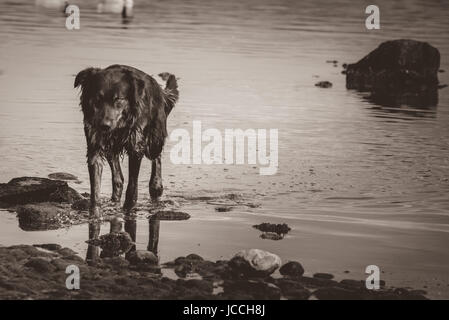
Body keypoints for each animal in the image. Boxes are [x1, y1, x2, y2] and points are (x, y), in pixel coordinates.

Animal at [74, 63, 178, 216]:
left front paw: (129, 208)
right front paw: (95, 213)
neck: (119, 126)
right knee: (118, 177)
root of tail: (160, 91)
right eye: (97, 99)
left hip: (154, 139)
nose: (104, 125)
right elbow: (95, 187)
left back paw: (156, 185)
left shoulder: (136, 147)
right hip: (110, 148)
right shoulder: (95, 146)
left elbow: (132, 185)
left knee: (156, 156)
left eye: (118, 99)